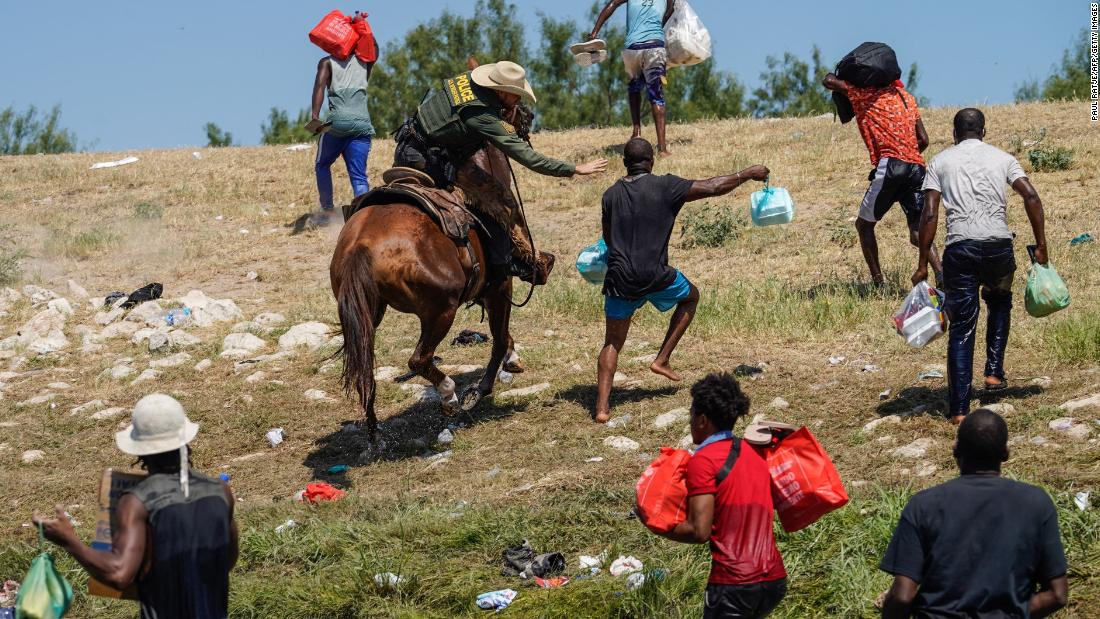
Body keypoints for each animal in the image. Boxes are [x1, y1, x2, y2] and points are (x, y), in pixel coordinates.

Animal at [330, 144, 523, 439]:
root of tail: (360, 246)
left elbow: (501, 333)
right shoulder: (499, 286)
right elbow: (500, 335)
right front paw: (487, 383)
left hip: (368, 315)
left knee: (366, 365)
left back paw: (374, 431)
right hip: (441, 311)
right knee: (419, 359)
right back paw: (449, 396)